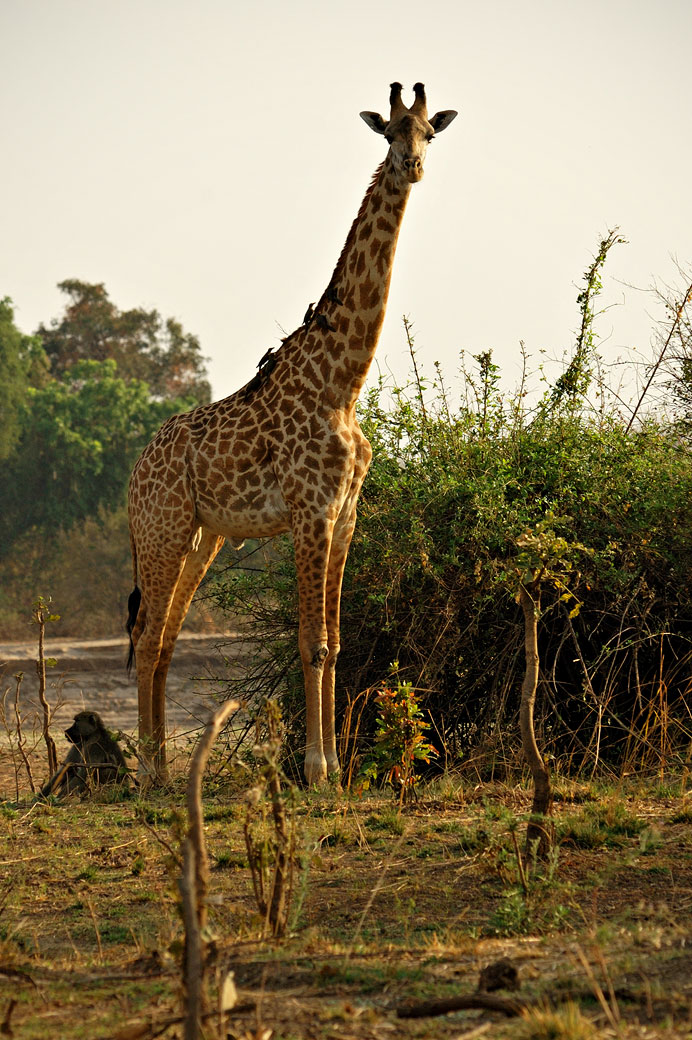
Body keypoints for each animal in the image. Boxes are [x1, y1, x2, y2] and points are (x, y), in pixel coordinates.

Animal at [126, 83, 455, 782]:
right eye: (390, 132)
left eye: (429, 134)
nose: (412, 167)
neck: (344, 383)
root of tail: (133, 477)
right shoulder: (310, 510)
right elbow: (309, 643)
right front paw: (316, 767)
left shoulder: (346, 513)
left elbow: (335, 642)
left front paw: (336, 769)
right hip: (163, 531)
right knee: (146, 637)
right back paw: (150, 773)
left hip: (201, 539)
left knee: (164, 639)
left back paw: (165, 772)